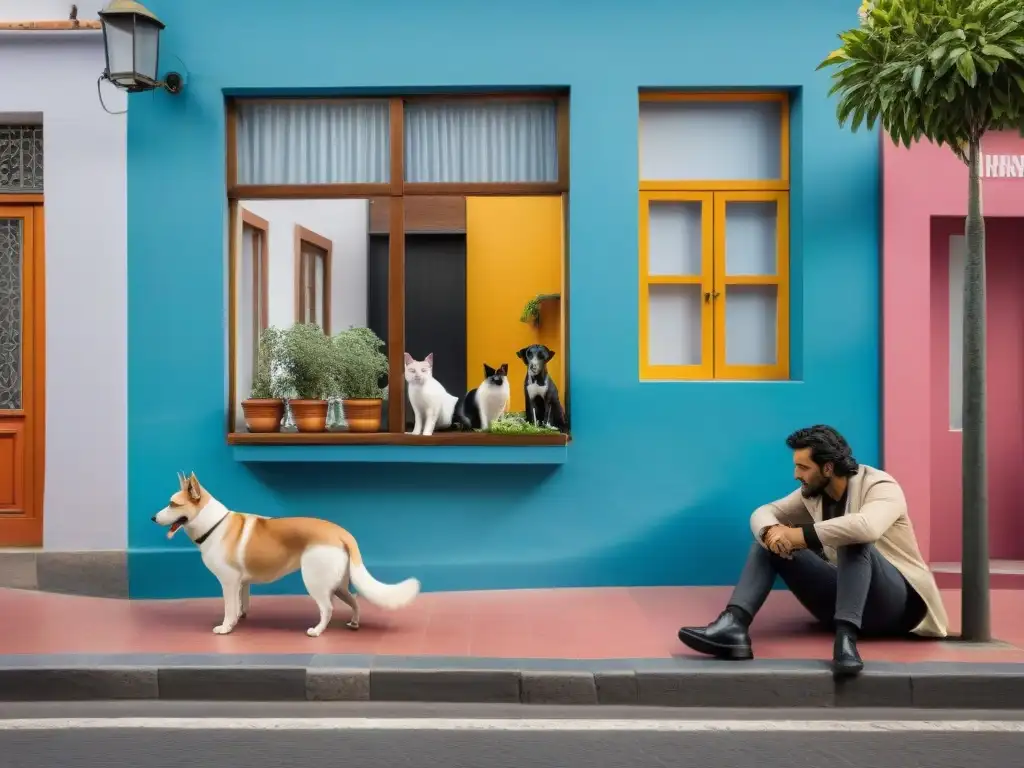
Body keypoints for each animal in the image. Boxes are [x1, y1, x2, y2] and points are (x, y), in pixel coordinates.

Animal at [150, 475, 419, 638]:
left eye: (173, 504)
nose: (153, 518)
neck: (214, 524)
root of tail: (341, 533)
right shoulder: (241, 583)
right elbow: (241, 603)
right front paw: (239, 618)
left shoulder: (228, 583)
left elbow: (229, 607)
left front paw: (226, 627)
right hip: (339, 585)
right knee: (354, 601)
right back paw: (353, 623)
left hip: (315, 583)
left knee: (328, 608)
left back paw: (317, 631)